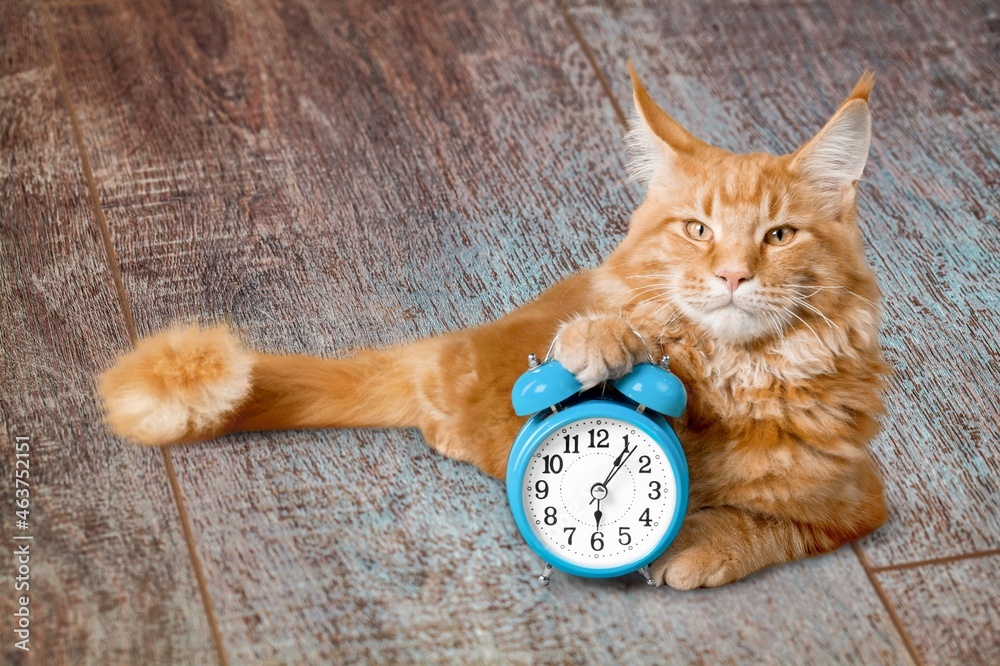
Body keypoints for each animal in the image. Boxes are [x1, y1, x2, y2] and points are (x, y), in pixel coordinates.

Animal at [97, 65, 888, 588]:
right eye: (698, 230)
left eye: (779, 236)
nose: (731, 276)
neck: (734, 372)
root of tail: (445, 346)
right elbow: (629, 335)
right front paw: (606, 346)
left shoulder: (854, 504)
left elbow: (763, 525)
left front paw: (694, 545)